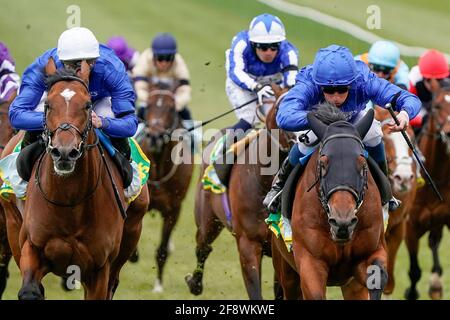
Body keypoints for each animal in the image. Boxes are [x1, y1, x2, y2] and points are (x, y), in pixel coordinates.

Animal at [0, 58, 149, 300]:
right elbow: (30, 290)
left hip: (131, 232)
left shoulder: (99, 269)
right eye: (47, 105)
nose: (64, 152)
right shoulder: (31, 248)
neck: (70, 203)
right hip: (12, 222)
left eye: (87, 105)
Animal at [138, 82, 192, 292]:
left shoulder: (173, 210)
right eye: (148, 105)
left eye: (171, 108)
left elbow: (161, 250)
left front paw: (158, 286)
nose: (155, 136)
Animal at [272, 105, 388, 300]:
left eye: (362, 162)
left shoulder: (370, 253)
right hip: (286, 270)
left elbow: (379, 277)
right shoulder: (310, 262)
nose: (343, 222)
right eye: (323, 163)